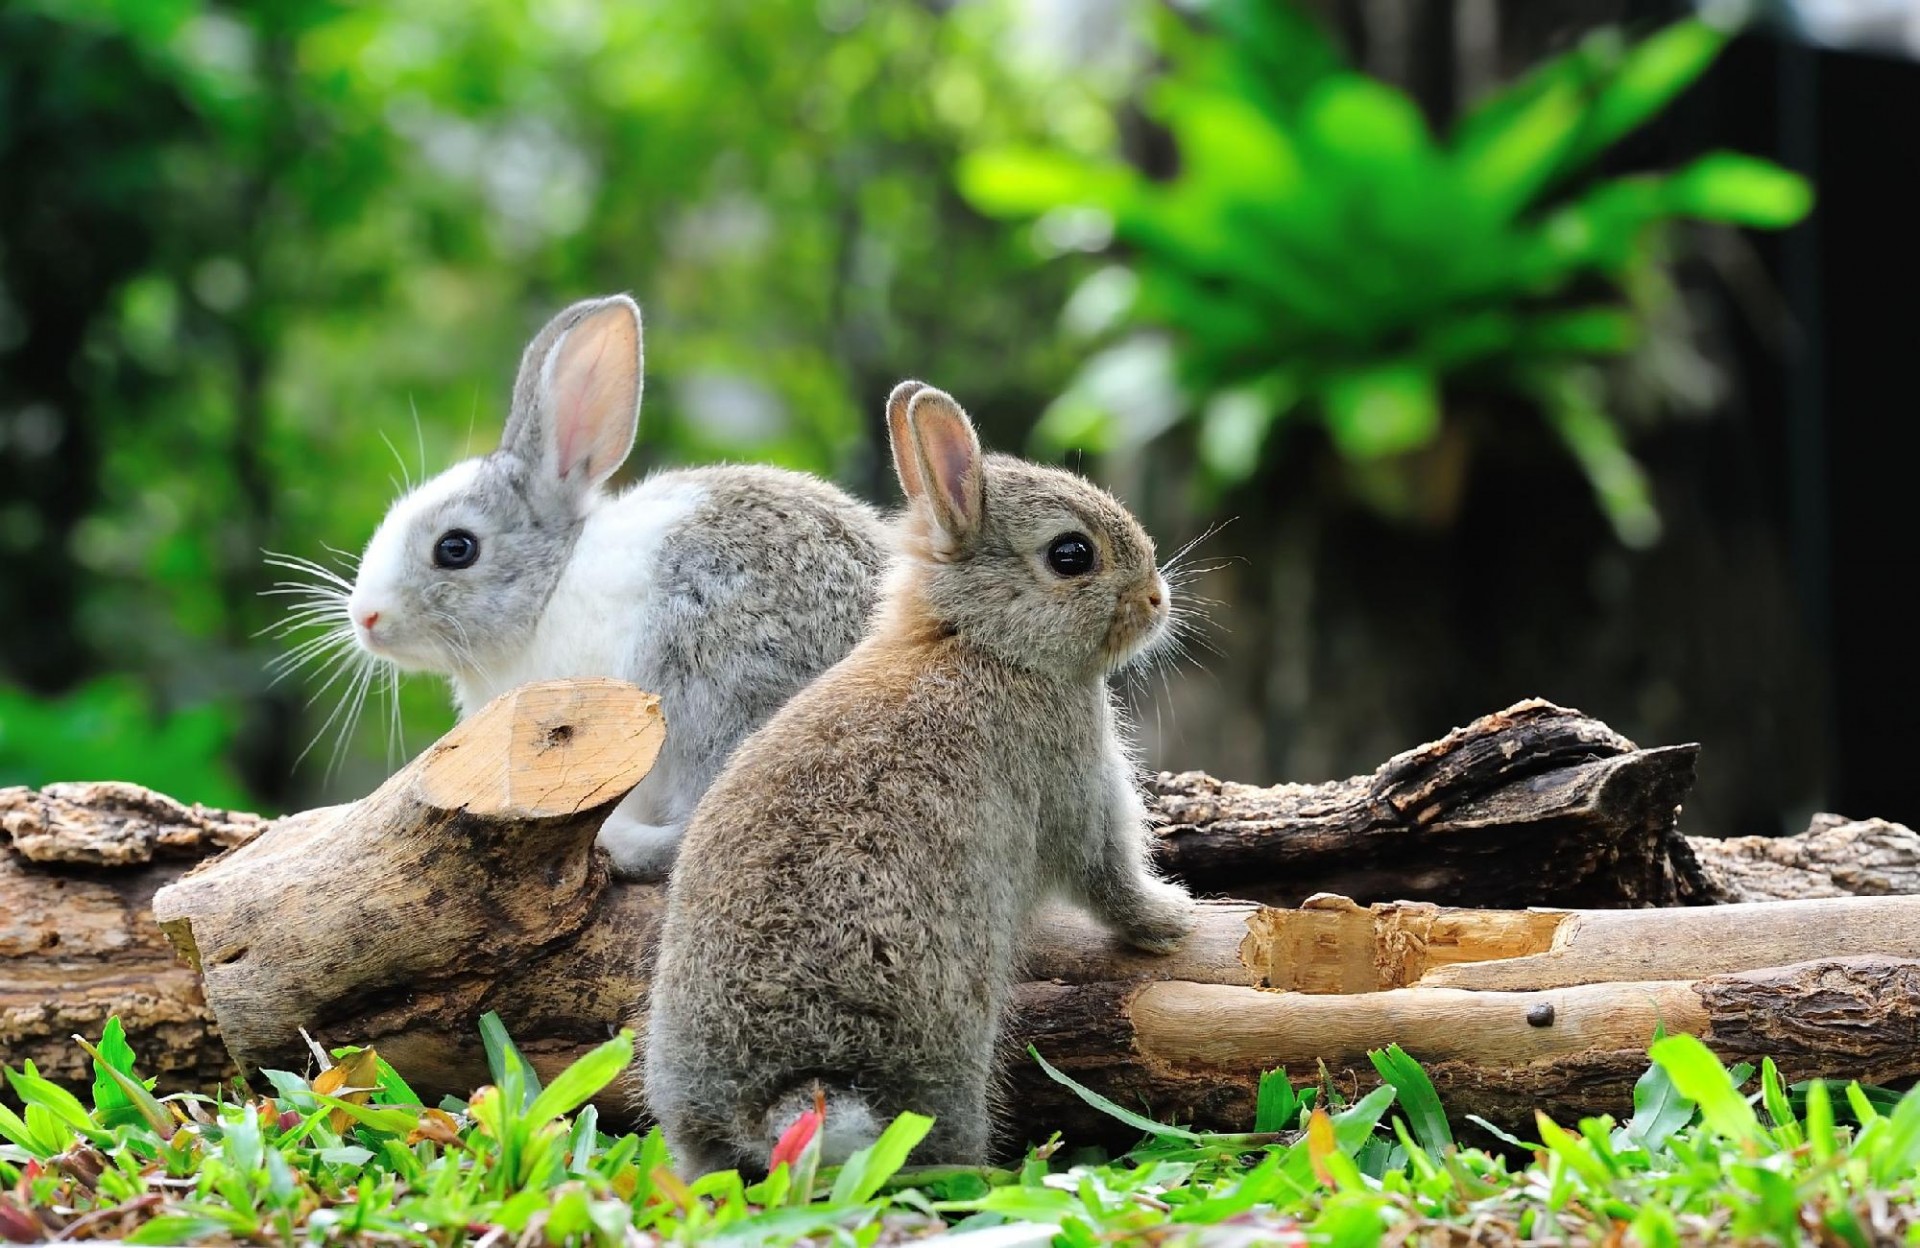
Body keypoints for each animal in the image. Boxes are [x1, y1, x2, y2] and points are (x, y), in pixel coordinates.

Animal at [637, 382, 1190, 1175]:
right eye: (1072, 554)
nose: (1155, 600)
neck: (978, 640)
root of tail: (776, 1099)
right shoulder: (1075, 780)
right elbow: (1108, 876)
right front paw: (1172, 920)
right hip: (948, 1044)